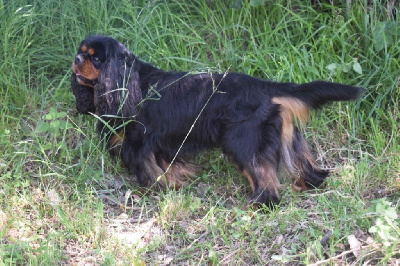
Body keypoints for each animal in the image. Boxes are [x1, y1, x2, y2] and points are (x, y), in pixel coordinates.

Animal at [70, 34, 364, 206]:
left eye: (96, 58)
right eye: (81, 52)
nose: (76, 58)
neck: (129, 82)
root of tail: (264, 87)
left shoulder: (140, 143)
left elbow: (148, 172)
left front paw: (151, 191)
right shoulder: (163, 143)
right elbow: (168, 167)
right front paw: (176, 183)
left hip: (244, 144)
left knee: (265, 182)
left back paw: (259, 204)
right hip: (287, 136)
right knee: (310, 168)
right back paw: (307, 184)